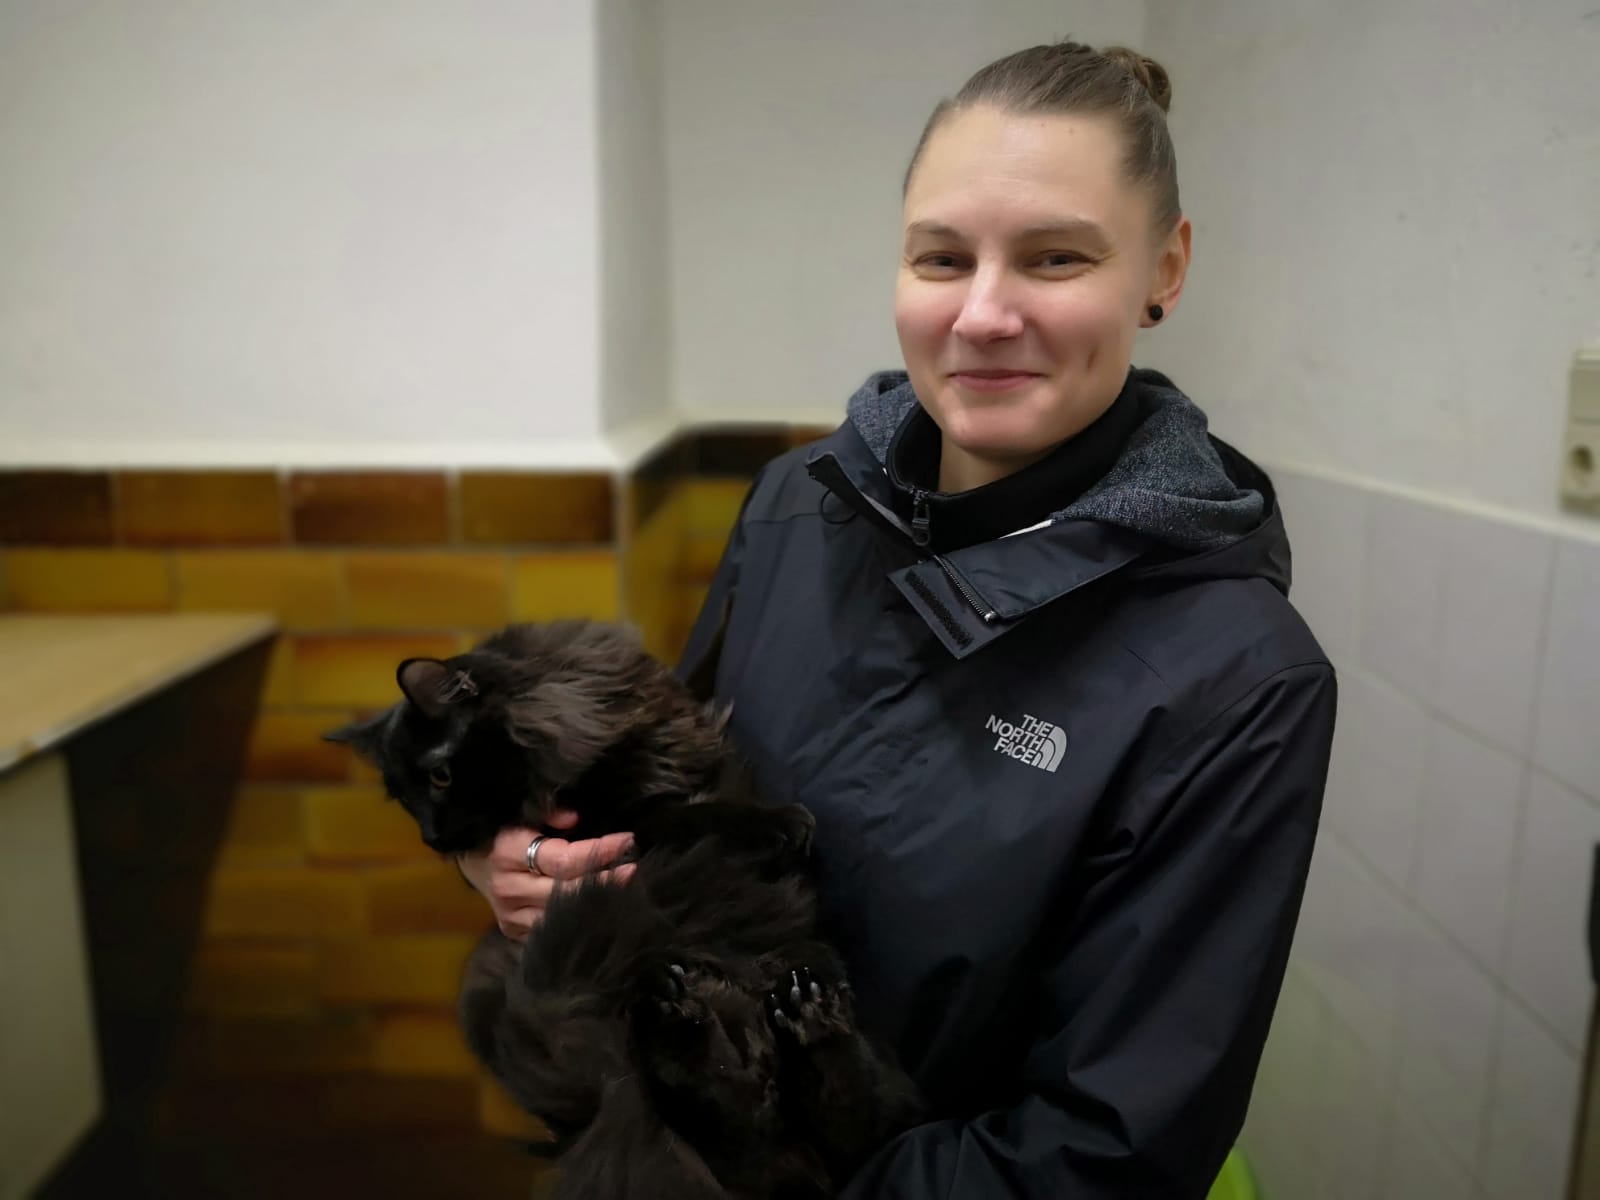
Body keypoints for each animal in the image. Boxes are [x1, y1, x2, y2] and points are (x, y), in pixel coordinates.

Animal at [325, 619, 922, 1199]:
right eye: (407, 799)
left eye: (439, 777)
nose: (433, 838)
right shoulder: (624, 826)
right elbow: (692, 816)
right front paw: (784, 822)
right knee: (744, 1123)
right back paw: (687, 1017)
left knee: (853, 1124)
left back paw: (804, 1014)